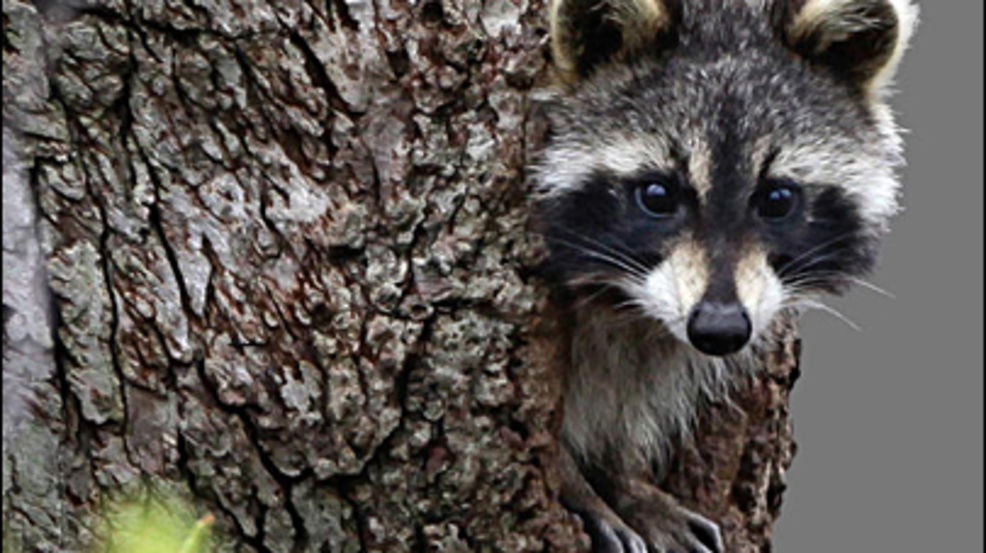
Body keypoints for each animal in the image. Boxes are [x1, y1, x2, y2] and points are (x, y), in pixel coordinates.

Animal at [533, 0, 917, 551]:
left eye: (777, 199)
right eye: (657, 195)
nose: (719, 328)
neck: (625, 302)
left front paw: (621, 473)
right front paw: (572, 476)